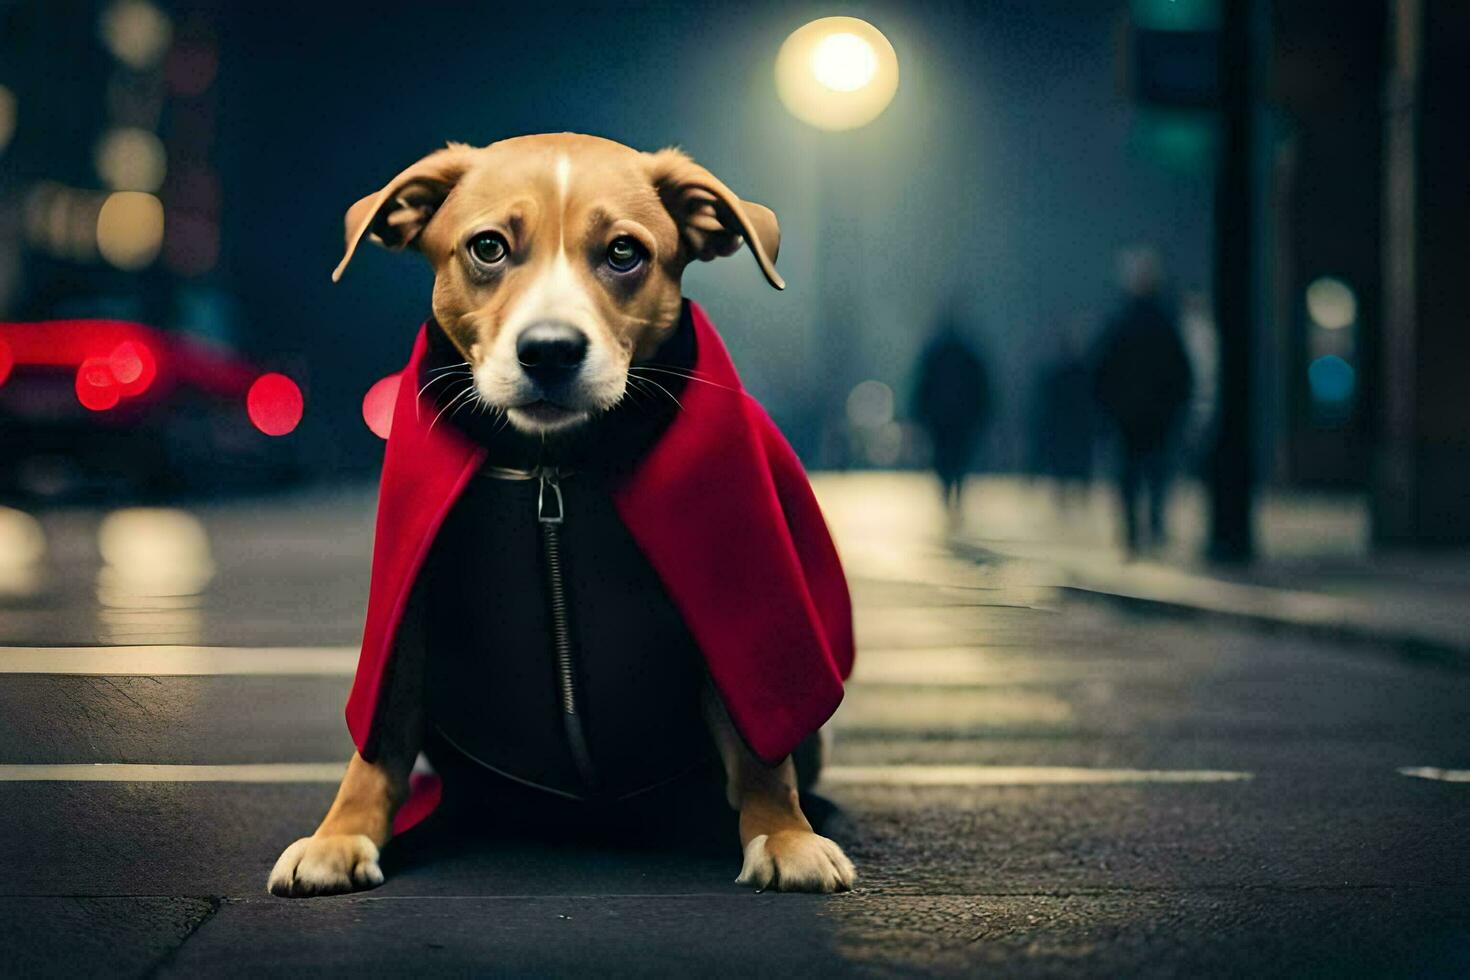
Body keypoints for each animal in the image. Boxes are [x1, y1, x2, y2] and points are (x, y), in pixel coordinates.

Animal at [270, 134, 858, 899]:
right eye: (488, 247)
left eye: (624, 252)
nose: (549, 350)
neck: (550, 466)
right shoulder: (413, 599)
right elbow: (382, 731)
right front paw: (339, 835)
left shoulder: (728, 598)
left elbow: (756, 732)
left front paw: (784, 836)